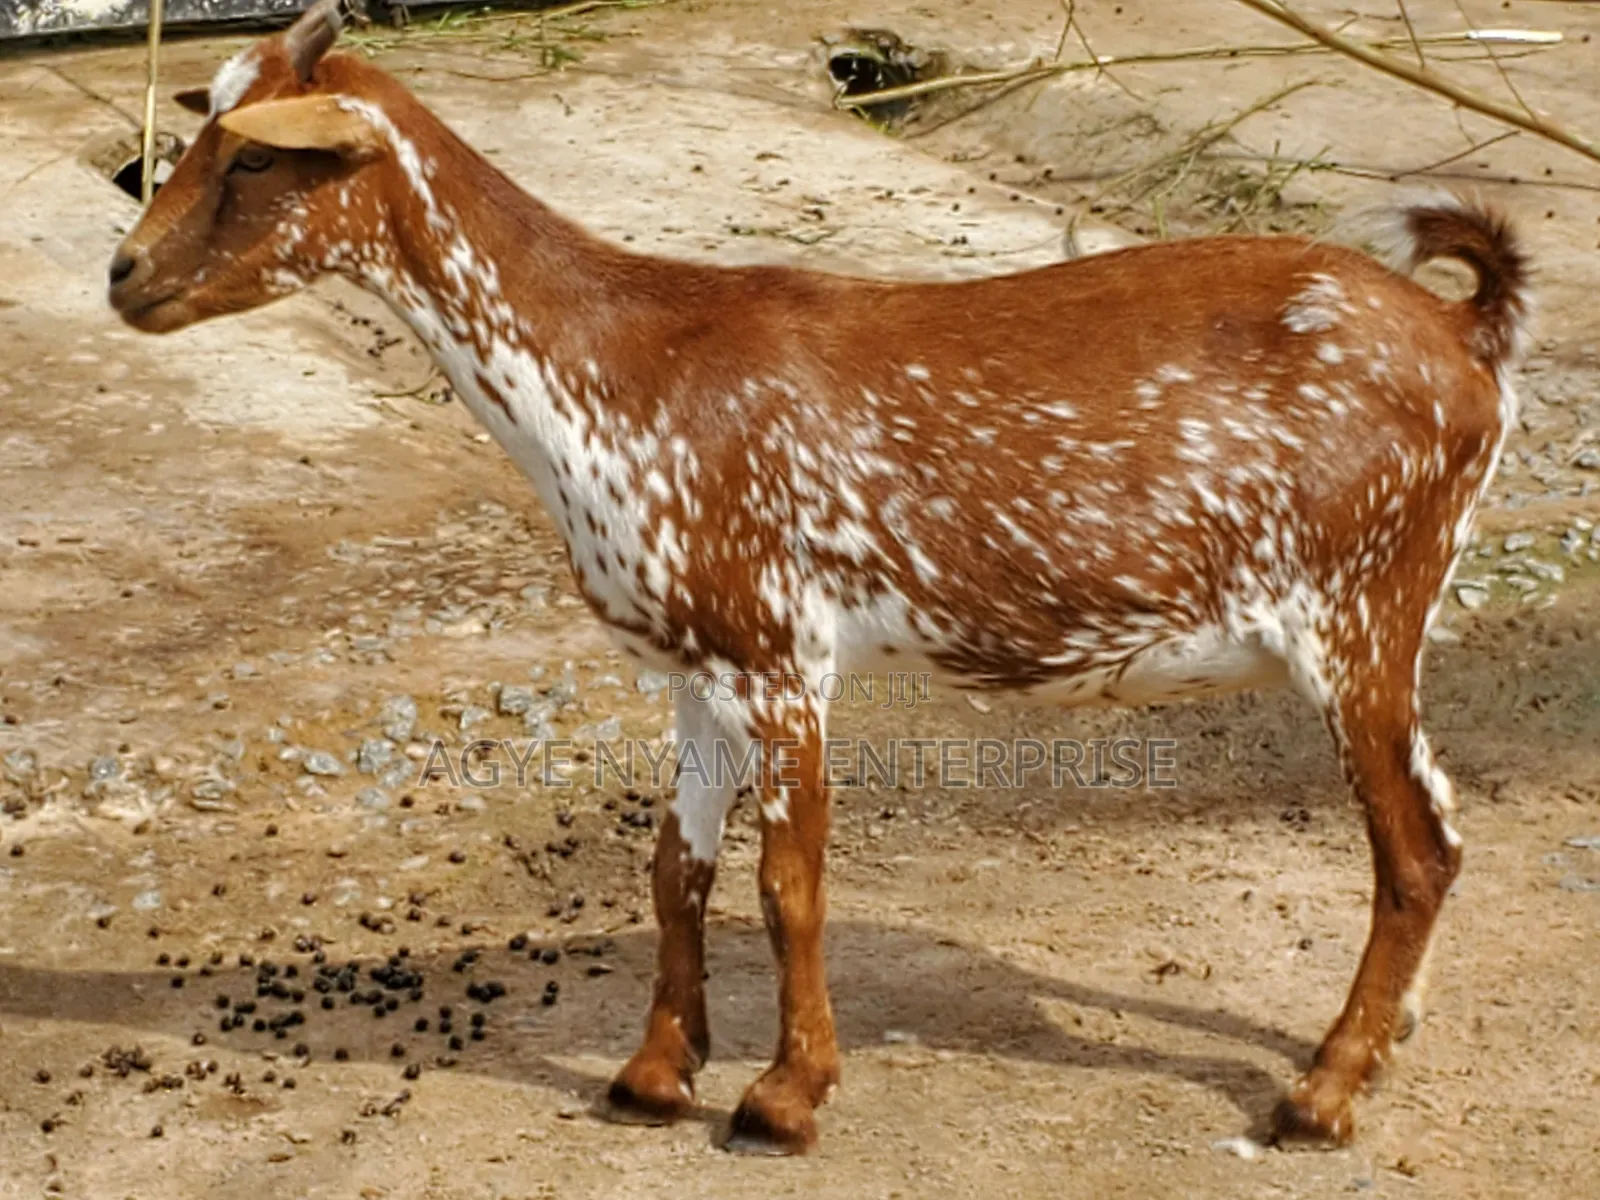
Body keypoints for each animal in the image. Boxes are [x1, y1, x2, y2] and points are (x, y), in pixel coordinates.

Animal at [108, 0, 1530, 1155]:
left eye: (254, 156)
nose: (123, 275)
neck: (616, 366)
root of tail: (1465, 334)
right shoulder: (694, 663)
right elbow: (673, 870)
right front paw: (654, 1072)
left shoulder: (780, 650)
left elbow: (787, 883)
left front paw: (784, 1098)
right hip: (1387, 614)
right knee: (1449, 821)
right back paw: (1385, 1040)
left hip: (1357, 605)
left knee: (1413, 851)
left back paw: (1322, 1094)